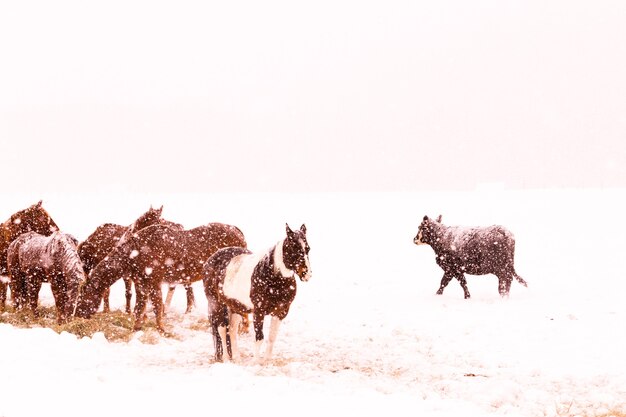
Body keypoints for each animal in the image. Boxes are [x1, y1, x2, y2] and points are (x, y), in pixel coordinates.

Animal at [75, 221, 246, 334]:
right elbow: (139, 308)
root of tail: (239, 232)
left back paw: (243, 328)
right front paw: (136, 328)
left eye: (82, 296)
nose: (77, 316)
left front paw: (162, 329)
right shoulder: (141, 283)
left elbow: (157, 306)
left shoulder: (154, 281)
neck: (134, 254)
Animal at [202, 223, 310, 362]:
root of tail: (210, 260)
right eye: (293, 248)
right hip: (216, 304)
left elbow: (272, 338)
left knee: (232, 330)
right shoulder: (258, 312)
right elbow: (259, 338)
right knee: (222, 330)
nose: (306, 274)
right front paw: (257, 362)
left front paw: (267, 361)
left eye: (308, 249)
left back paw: (237, 358)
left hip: (235, 307)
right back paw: (226, 359)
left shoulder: (281, 312)